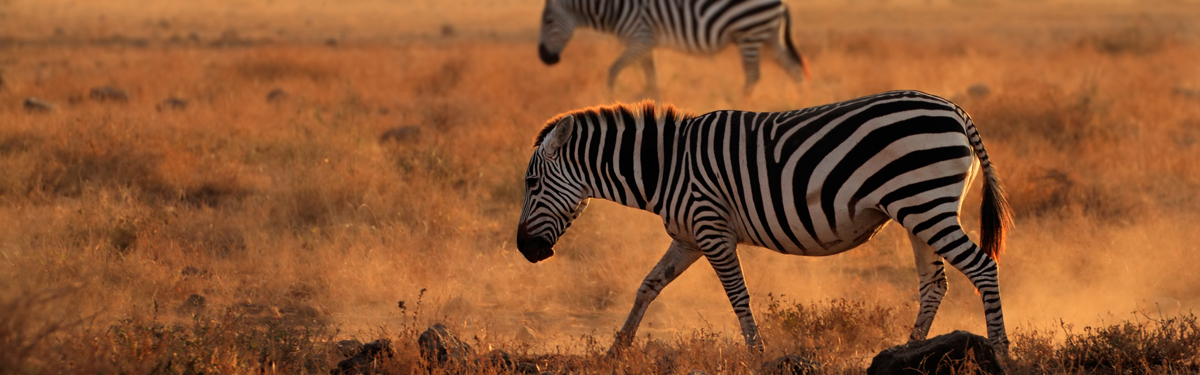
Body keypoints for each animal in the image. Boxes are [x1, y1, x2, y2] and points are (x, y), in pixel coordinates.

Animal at [516, 90, 1012, 350]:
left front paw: (757, 353)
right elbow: (648, 286)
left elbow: (738, 296)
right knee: (934, 284)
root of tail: (955, 110)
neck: (667, 167)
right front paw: (617, 348)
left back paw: (1000, 352)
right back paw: (910, 350)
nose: (524, 250)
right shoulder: (688, 237)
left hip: (926, 204)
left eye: (532, 184)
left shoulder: (712, 230)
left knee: (983, 267)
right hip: (918, 211)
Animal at [540, 0, 811, 94]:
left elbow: (613, 70)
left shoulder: (641, 38)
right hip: (768, 37)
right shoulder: (646, 44)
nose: (544, 58)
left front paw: (609, 97)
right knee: (793, 67)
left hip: (750, 34)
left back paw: (740, 101)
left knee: (754, 75)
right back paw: (800, 96)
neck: (614, 9)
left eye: (548, 20)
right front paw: (651, 99)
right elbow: (652, 76)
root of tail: (782, 3)